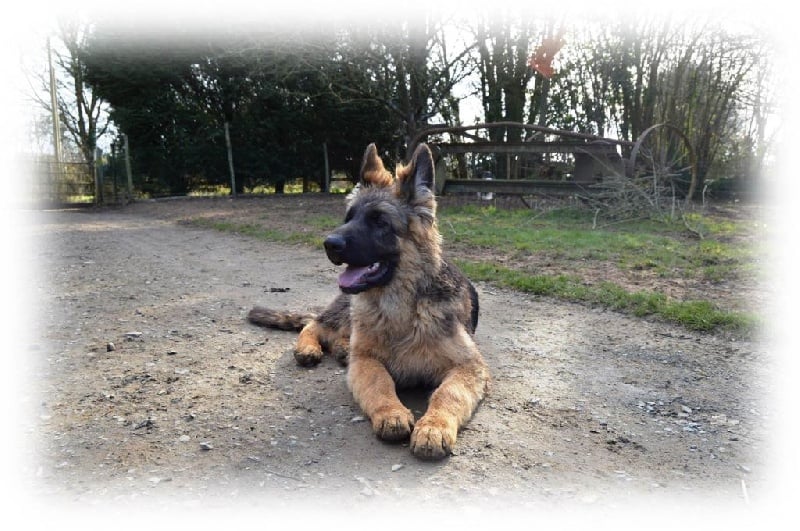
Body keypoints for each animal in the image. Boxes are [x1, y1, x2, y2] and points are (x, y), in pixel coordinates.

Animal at [248, 143, 488, 460]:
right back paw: (309, 348)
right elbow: (378, 381)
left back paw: (339, 350)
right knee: (315, 324)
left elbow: (449, 393)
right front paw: (391, 413)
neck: (403, 308)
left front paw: (434, 427)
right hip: (348, 313)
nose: (329, 244)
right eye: (348, 217)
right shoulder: (366, 360)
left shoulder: (469, 366)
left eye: (380, 222)